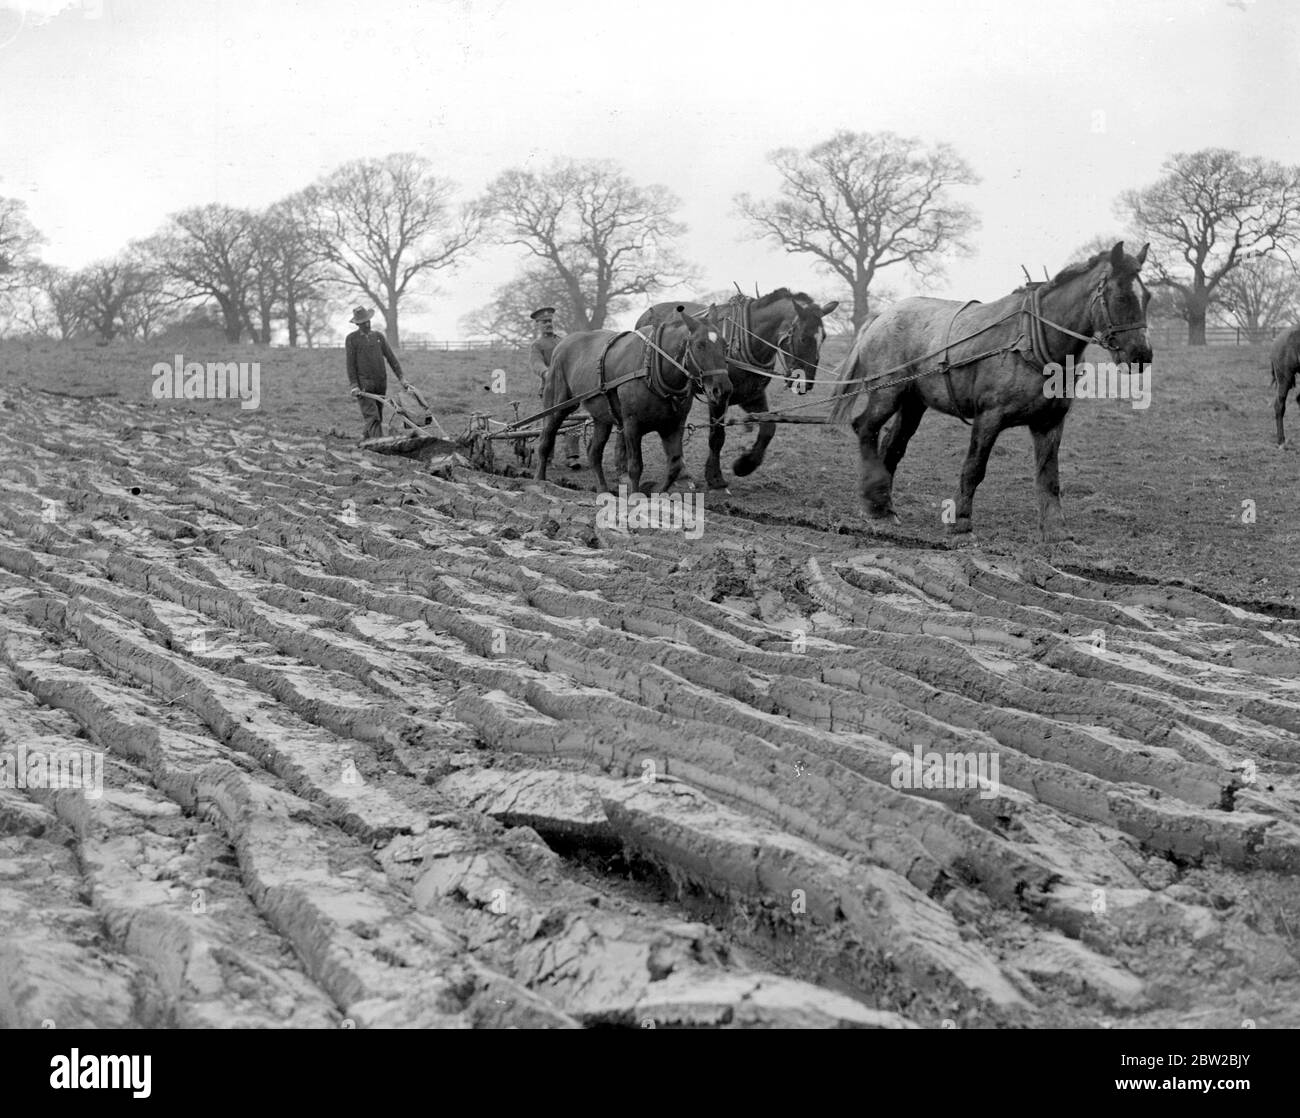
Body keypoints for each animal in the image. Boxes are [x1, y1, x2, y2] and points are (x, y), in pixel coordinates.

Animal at [530, 308, 733, 496]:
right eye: (700, 345)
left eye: (725, 345)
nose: (723, 389)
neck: (651, 366)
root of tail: (561, 344)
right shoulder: (631, 424)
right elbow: (635, 466)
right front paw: (636, 496)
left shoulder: (674, 425)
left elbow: (674, 465)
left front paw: (655, 492)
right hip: (558, 405)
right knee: (546, 439)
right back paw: (540, 481)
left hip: (602, 417)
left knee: (594, 452)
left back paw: (603, 490)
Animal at [637, 289, 837, 486]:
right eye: (803, 338)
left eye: (824, 338)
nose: (806, 383)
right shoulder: (717, 396)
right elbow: (717, 436)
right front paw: (715, 476)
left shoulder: (752, 396)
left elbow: (769, 428)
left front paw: (745, 464)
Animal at [826, 241, 1154, 543]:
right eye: (1122, 296)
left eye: (1147, 296)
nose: (1142, 355)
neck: (1031, 342)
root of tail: (882, 316)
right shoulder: (989, 418)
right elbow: (974, 468)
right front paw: (961, 522)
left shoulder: (1050, 423)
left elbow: (1049, 477)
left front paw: (1057, 530)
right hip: (887, 393)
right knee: (865, 428)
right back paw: (873, 501)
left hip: (913, 403)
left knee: (892, 447)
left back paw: (883, 506)